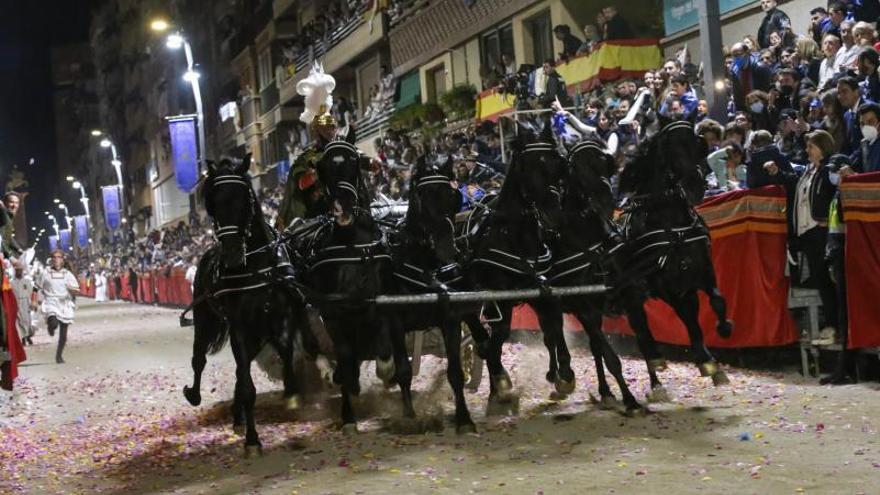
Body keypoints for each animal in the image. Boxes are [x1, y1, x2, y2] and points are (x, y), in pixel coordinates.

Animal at [184, 157, 304, 460]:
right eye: (213, 202)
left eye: (244, 198)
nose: (232, 254)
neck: (256, 266)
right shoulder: (239, 324)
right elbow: (247, 382)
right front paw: (252, 440)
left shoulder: (281, 314)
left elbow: (285, 351)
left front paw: (292, 393)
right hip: (205, 319)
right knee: (200, 359)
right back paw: (196, 394)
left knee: (243, 366)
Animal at [290, 140, 410, 434]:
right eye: (323, 169)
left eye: (354, 162)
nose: (342, 209)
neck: (356, 246)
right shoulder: (333, 312)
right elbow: (344, 356)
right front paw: (348, 416)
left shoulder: (383, 304)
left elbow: (385, 354)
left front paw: (387, 375)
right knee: (313, 342)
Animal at [468, 119, 572, 406]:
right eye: (528, 166)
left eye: (559, 162)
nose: (555, 216)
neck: (512, 234)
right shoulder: (499, 296)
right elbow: (501, 333)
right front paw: (501, 379)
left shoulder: (542, 288)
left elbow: (553, 327)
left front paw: (563, 375)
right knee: (478, 328)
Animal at [612, 120, 736, 396]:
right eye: (671, 147)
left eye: (696, 143)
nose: (695, 186)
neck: (672, 224)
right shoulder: (667, 285)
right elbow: (686, 318)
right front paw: (706, 361)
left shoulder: (701, 271)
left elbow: (715, 302)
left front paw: (718, 341)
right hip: (633, 298)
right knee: (642, 334)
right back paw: (656, 379)